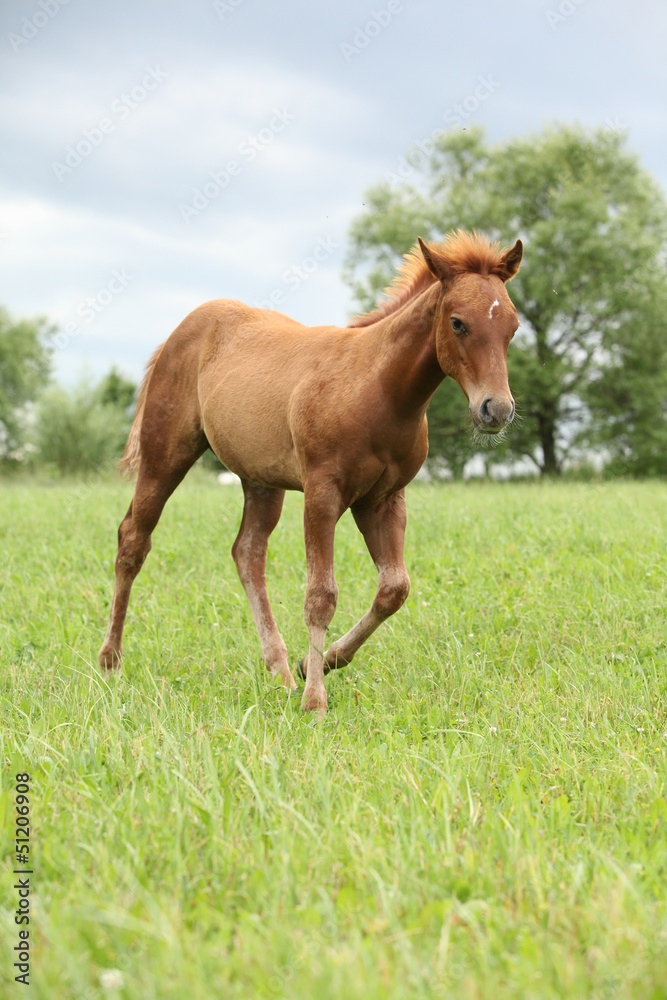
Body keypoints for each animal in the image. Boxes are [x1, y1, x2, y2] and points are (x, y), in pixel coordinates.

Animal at [100, 232, 520, 720]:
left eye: (513, 327)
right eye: (457, 323)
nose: (496, 410)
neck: (378, 390)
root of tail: (183, 328)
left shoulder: (383, 499)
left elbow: (394, 588)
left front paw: (319, 663)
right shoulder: (323, 493)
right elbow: (321, 595)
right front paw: (315, 700)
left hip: (261, 480)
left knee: (247, 553)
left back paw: (281, 670)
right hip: (165, 456)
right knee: (133, 540)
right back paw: (110, 661)